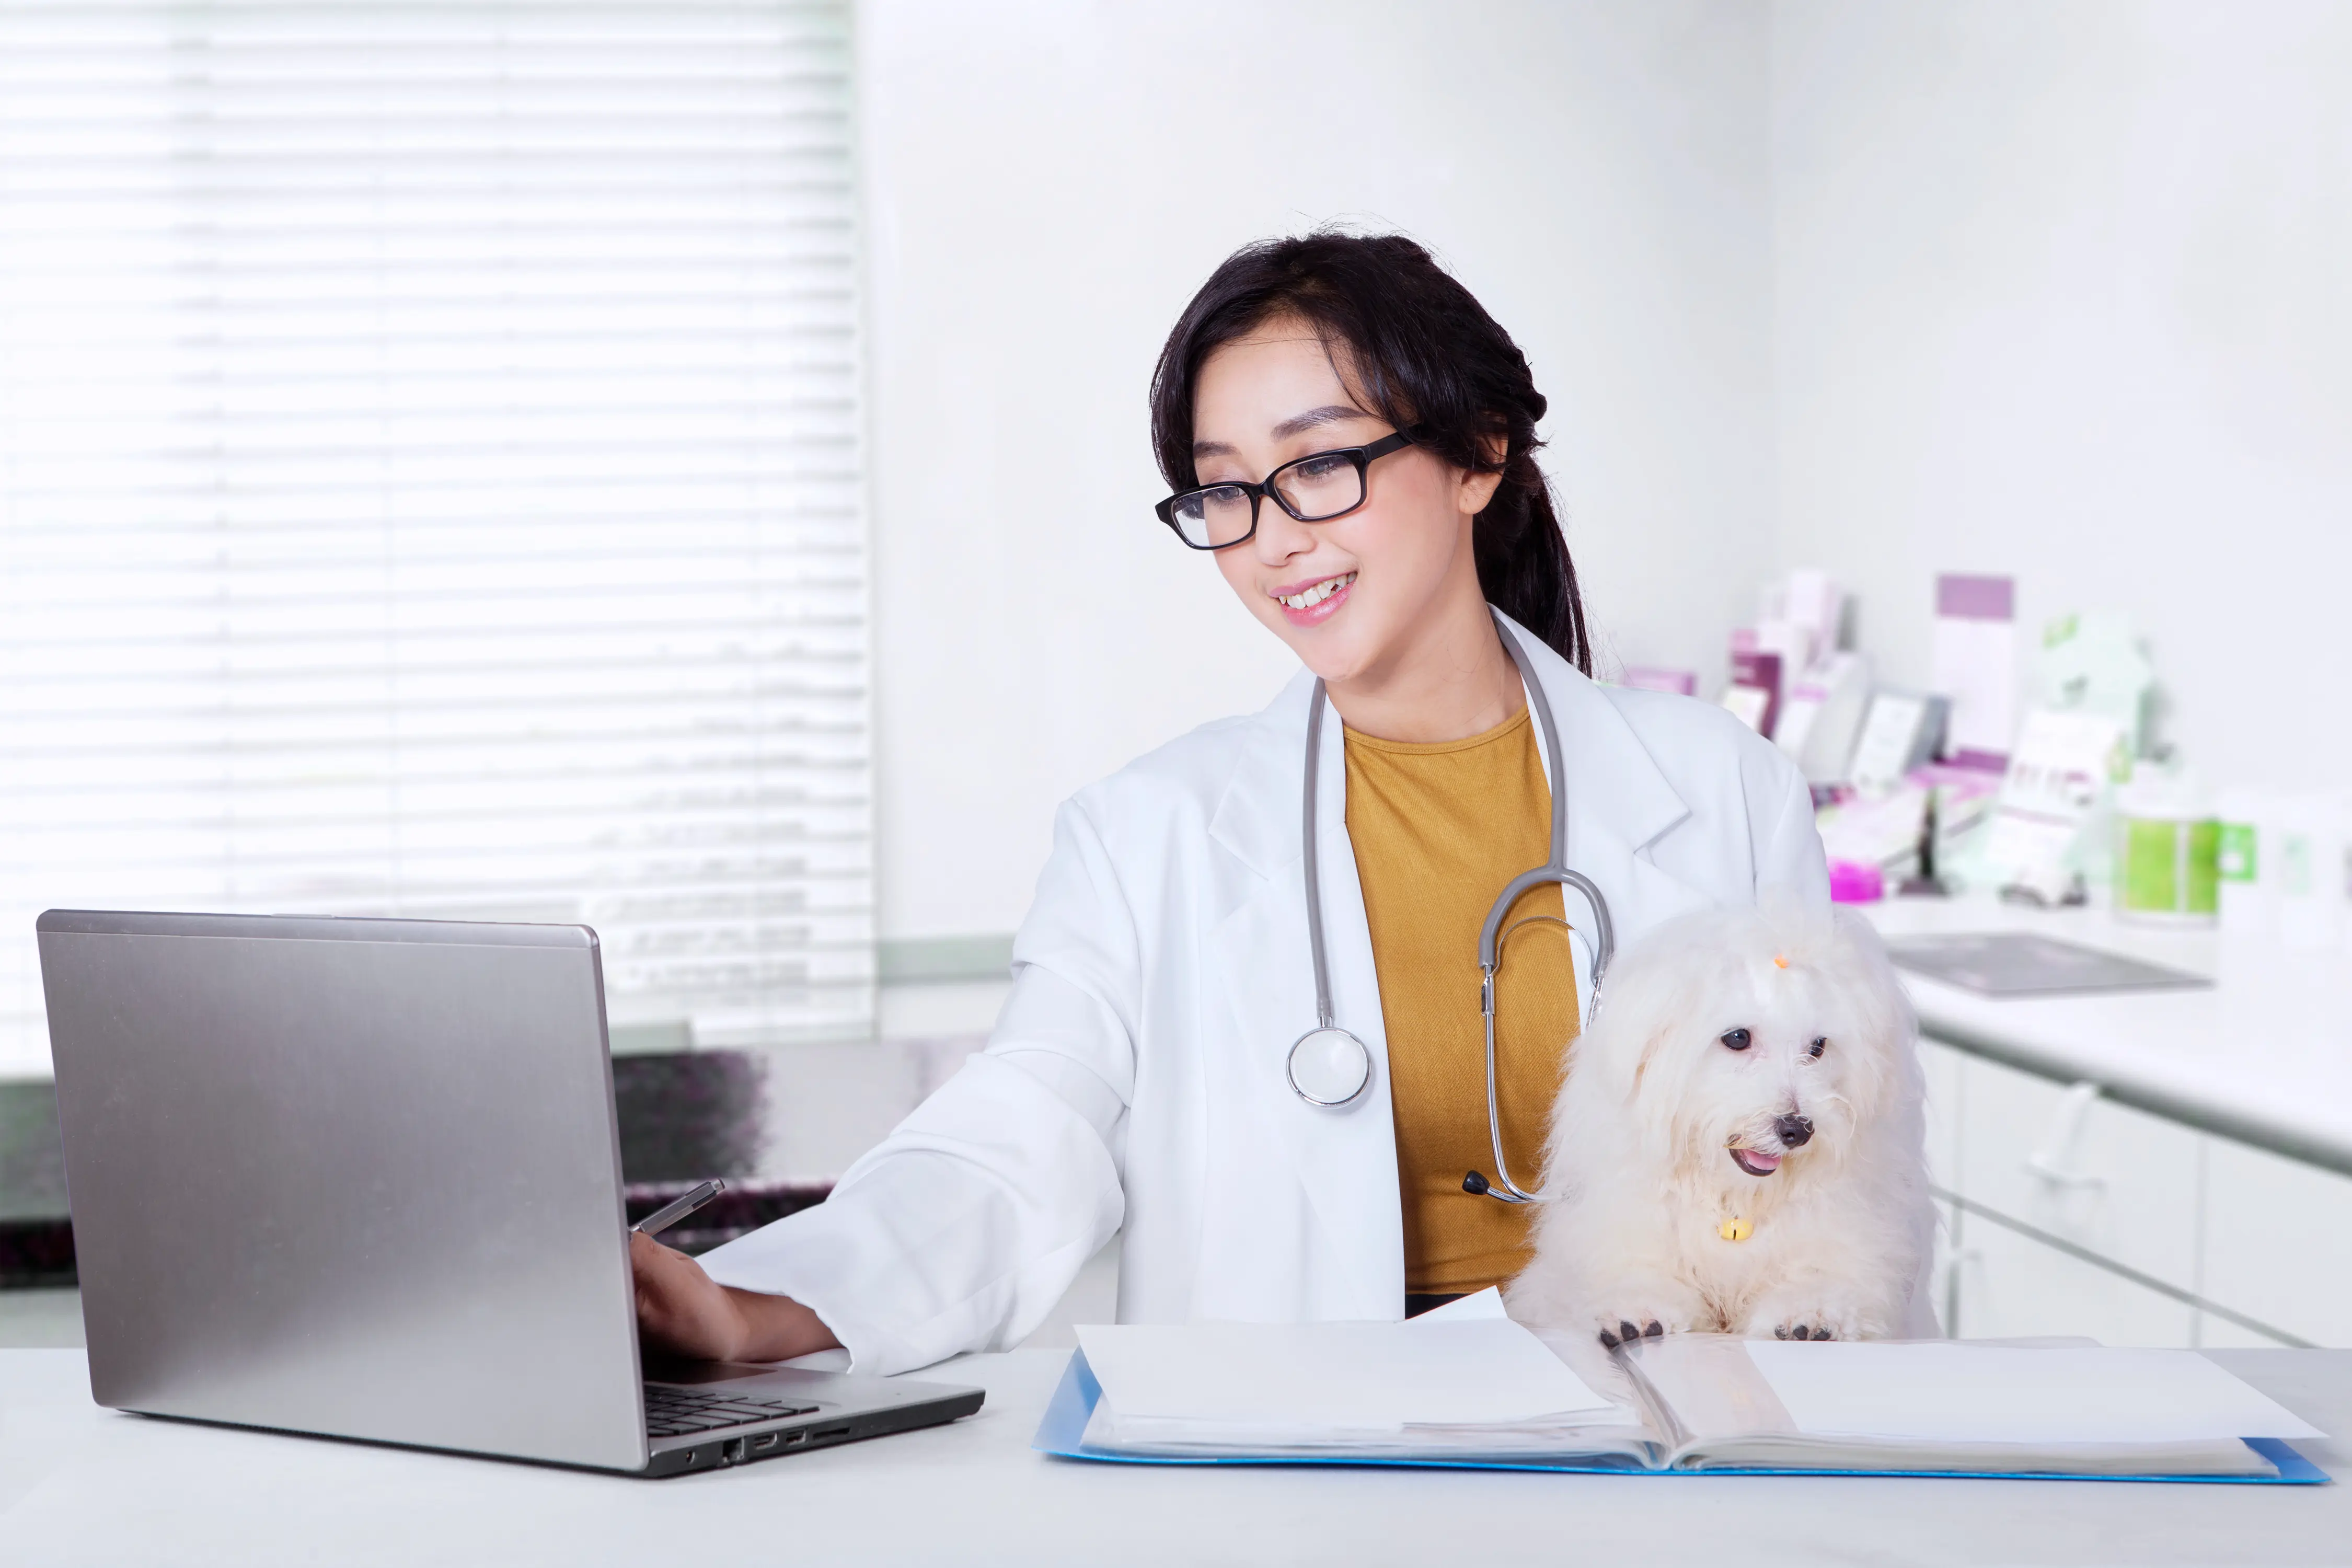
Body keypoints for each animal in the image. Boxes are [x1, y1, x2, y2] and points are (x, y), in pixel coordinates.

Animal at [1505, 903, 1929, 1354]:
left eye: (1818, 1047)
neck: (1735, 1200)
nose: (1797, 1129)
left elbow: (1825, 1280)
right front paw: (1634, 1311)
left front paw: (1811, 1314)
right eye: (1738, 1037)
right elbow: (1635, 1271)